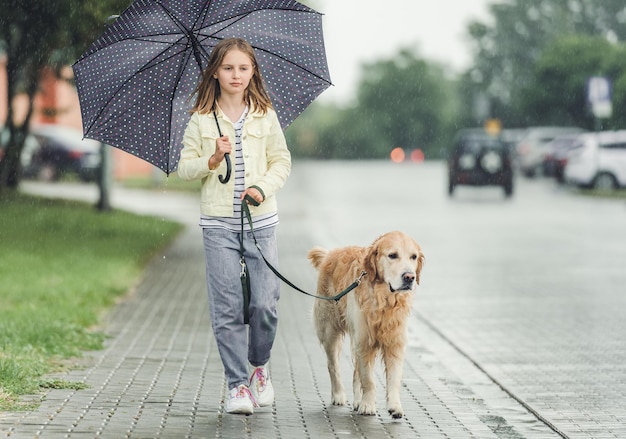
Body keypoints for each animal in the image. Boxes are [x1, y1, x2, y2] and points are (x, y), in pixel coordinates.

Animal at [308, 230, 424, 420]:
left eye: (413, 256)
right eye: (392, 255)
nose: (409, 277)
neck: (384, 300)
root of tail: (330, 254)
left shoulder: (394, 343)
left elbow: (393, 379)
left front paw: (394, 406)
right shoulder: (364, 342)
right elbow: (368, 379)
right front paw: (368, 405)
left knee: (356, 372)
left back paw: (357, 401)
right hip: (329, 331)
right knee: (333, 365)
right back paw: (338, 395)